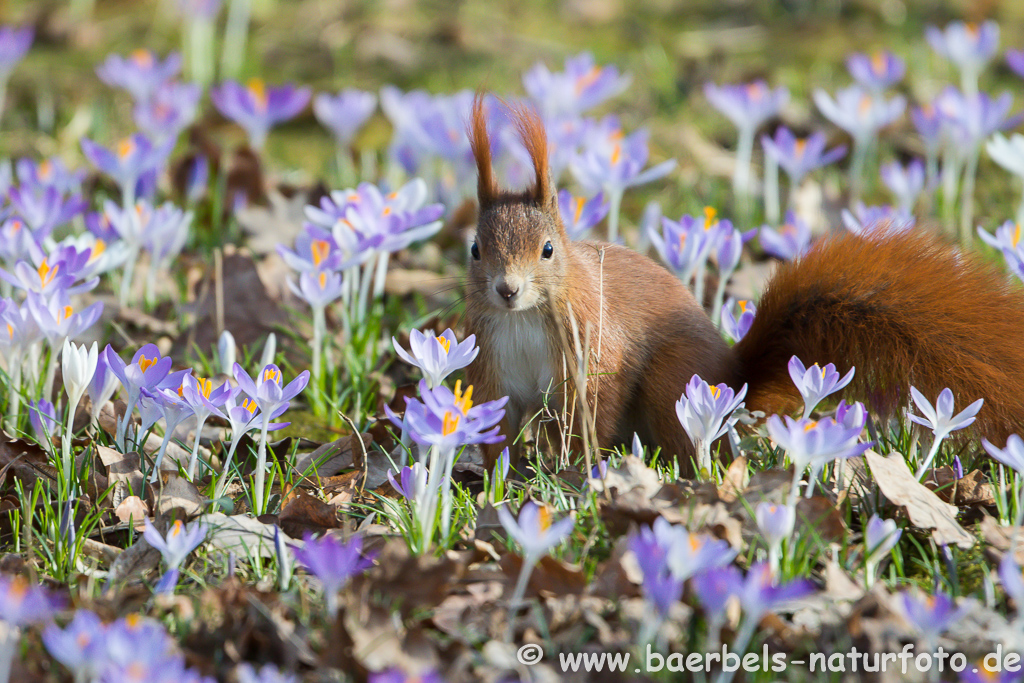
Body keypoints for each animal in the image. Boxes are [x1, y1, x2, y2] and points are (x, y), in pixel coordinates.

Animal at [464, 97, 1024, 475]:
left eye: (548, 250)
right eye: (474, 249)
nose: (507, 290)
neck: (524, 320)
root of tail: (733, 376)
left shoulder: (593, 347)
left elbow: (591, 413)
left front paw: (576, 469)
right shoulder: (493, 366)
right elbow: (496, 420)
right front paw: (497, 477)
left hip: (674, 383)